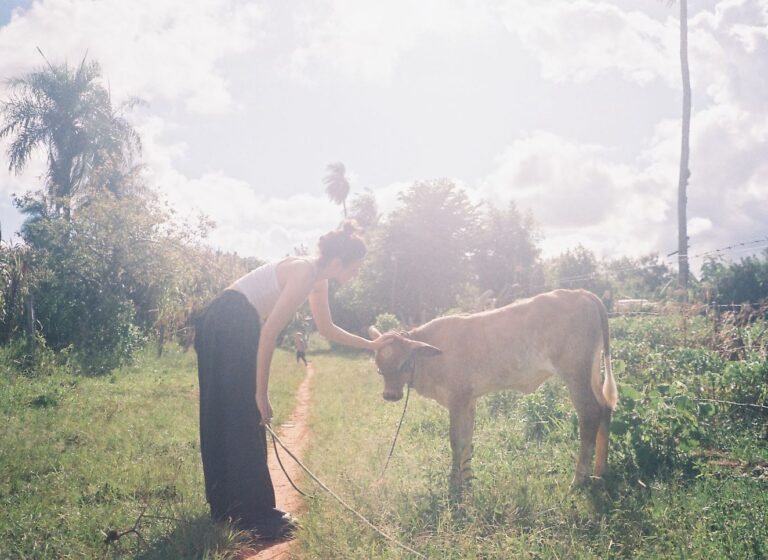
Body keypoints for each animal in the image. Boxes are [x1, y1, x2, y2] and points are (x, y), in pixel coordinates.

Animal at [370, 290, 616, 492]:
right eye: (379, 368)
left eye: (404, 364)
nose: (390, 395)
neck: (432, 357)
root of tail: (579, 292)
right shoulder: (469, 400)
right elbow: (467, 439)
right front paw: (467, 478)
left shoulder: (457, 399)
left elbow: (456, 440)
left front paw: (454, 484)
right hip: (592, 372)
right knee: (605, 408)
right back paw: (599, 474)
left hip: (576, 375)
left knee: (590, 414)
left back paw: (579, 480)